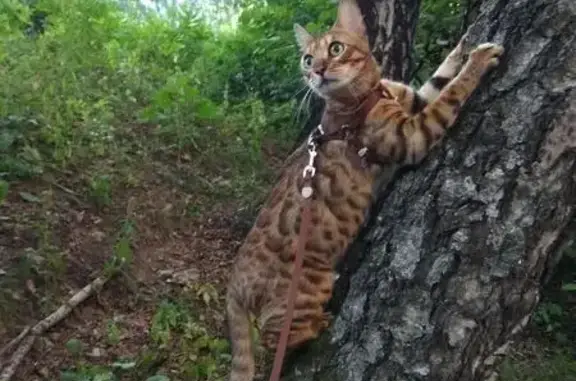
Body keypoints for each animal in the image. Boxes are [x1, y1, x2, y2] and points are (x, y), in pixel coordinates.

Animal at [225, 0, 504, 378]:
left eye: (335, 48)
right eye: (308, 59)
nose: (317, 71)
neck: (369, 91)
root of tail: (233, 287)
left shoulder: (410, 98)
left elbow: (438, 78)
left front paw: (464, 44)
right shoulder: (412, 136)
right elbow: (451, 94)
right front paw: (478, 60)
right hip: (307, 289)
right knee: (275, 337)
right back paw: (319, 326)